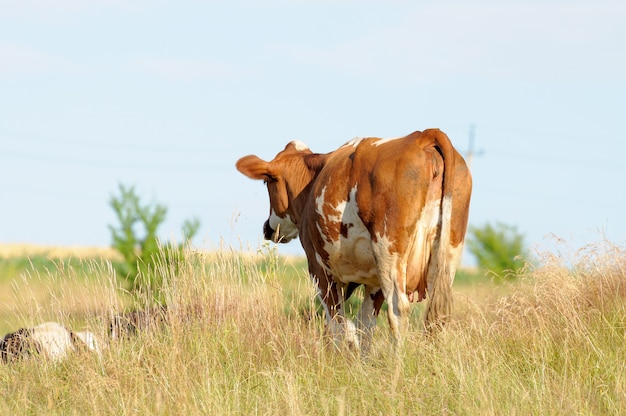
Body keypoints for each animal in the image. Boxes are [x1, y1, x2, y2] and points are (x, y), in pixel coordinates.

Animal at [236, 128, 470, 352]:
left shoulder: (319, 268)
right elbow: (364, 324)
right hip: (447, 255)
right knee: (437, 316)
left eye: (266, 182)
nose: (267, 228)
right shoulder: (373, 281)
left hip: (389, 252)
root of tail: (422, 137)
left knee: (398, 310)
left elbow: (337, 323)